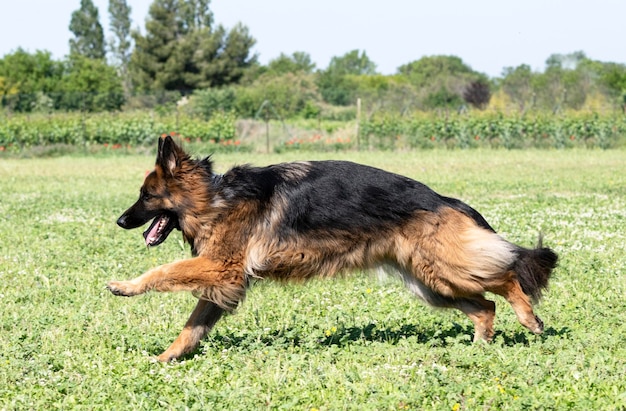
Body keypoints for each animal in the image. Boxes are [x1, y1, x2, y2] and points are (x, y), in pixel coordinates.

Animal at [107, 135, 556, 360]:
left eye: (145, 196)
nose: (120, 221)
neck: (215, 198)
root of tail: (443, 199)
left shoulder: (220, 267)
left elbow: (164, 272)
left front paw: (126, 286)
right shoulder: (224, 281)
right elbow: (192, 327)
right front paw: (166, 359)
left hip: (445, 269)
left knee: (507, 274)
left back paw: (529, 318)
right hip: (432, 283)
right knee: (485, 306)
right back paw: (479, 347)